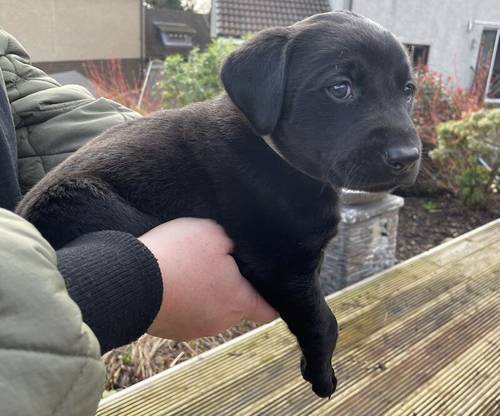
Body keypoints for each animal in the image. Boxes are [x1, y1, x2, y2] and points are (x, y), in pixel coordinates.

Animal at [17, 11, 420, 398]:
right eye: (340, 88)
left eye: (408, 90)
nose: (408, 156)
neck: (274, 152)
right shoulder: (280, 265)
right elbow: (323, 320)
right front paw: (321, 373)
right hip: (83, 198)